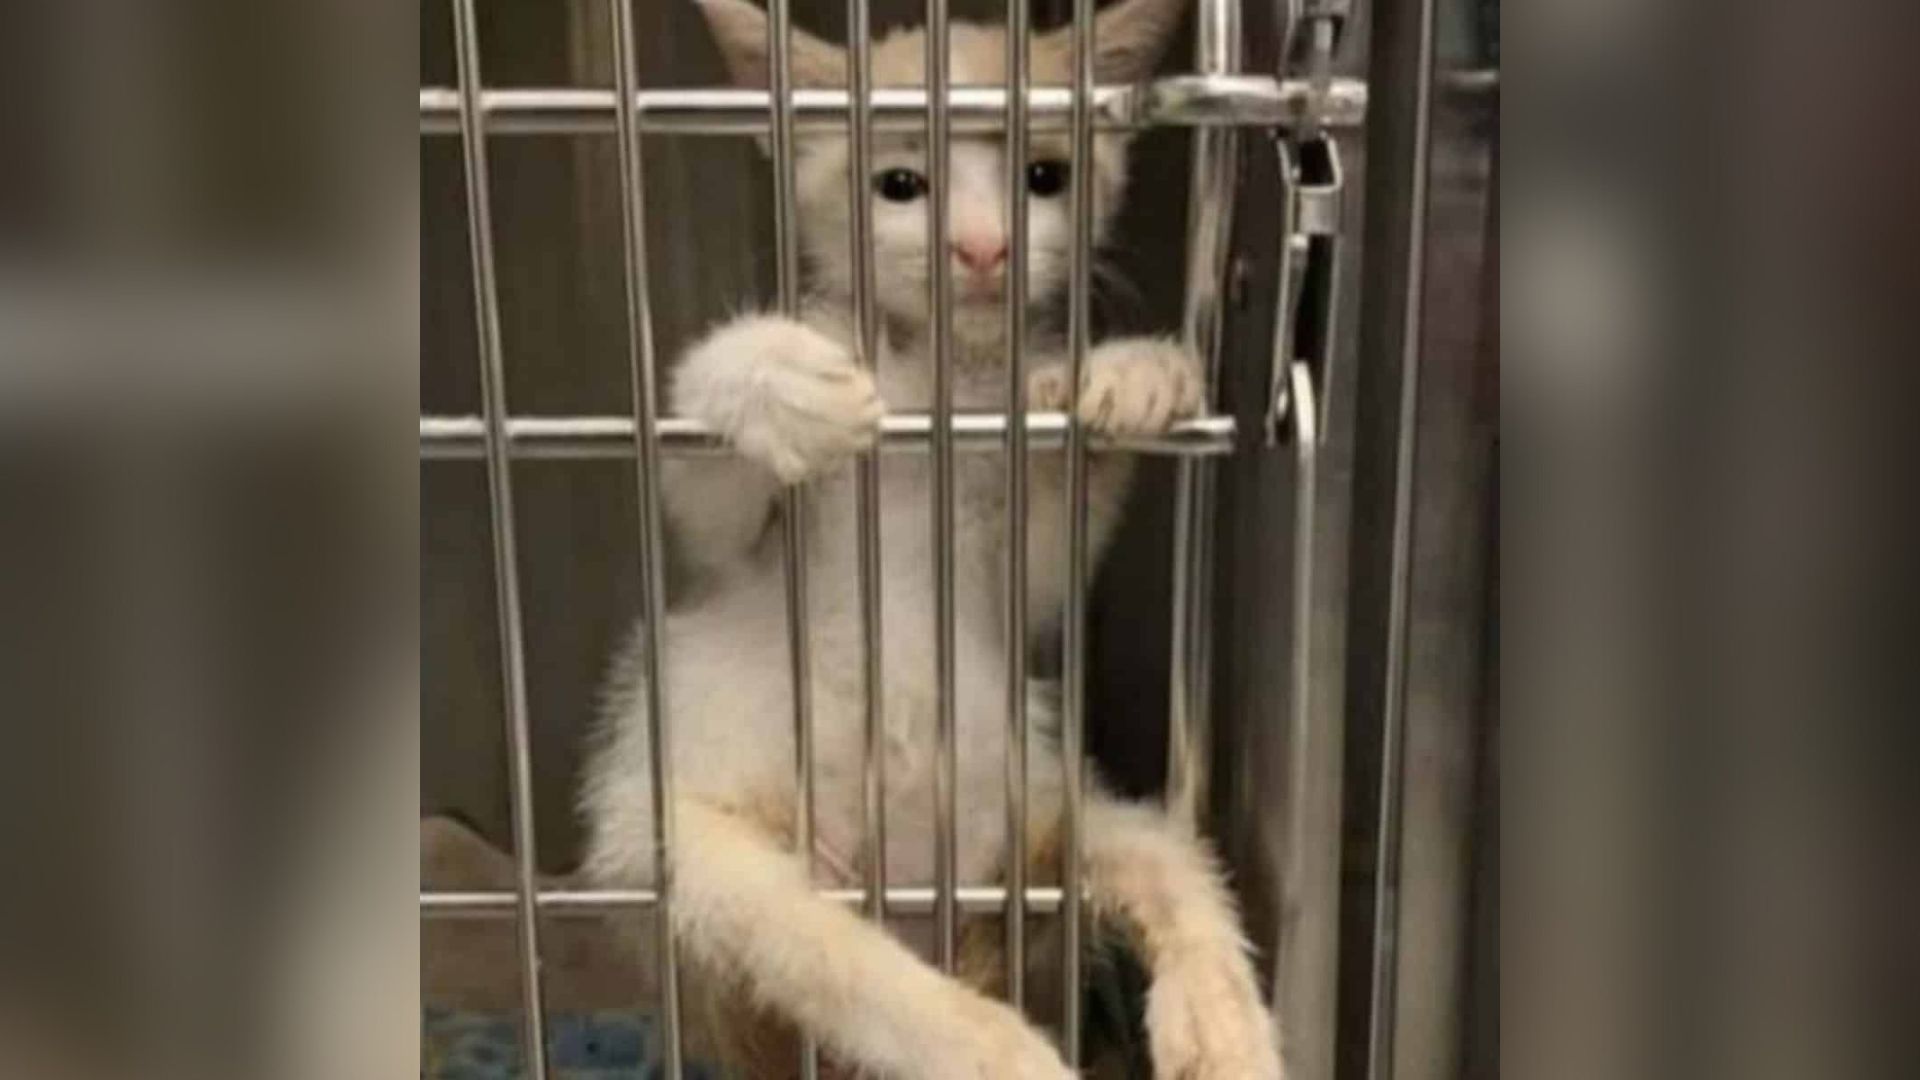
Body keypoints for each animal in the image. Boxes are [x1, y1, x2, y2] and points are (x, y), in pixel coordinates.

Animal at [576, 4, 1282, 1068]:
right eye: (899, 184)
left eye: (1044, 176)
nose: (983, 249)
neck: (942, 379)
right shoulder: (731, 543)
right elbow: (705, 491)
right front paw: (773, 378)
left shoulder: (1017, 560)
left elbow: (1046, 562)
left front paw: (1136, 375)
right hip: (680, 846)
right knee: (819, 950)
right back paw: (989, 1049)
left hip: (1041, 807)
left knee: (1159, 856)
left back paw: (1218, 1026)